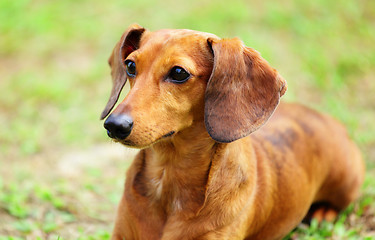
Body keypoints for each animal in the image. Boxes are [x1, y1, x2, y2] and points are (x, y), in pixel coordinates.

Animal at [101, 23, 366, 240]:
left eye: (178, 73)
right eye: (130, 65)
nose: (114, 125)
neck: (167, 179)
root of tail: (328, 118)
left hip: (345, 183)